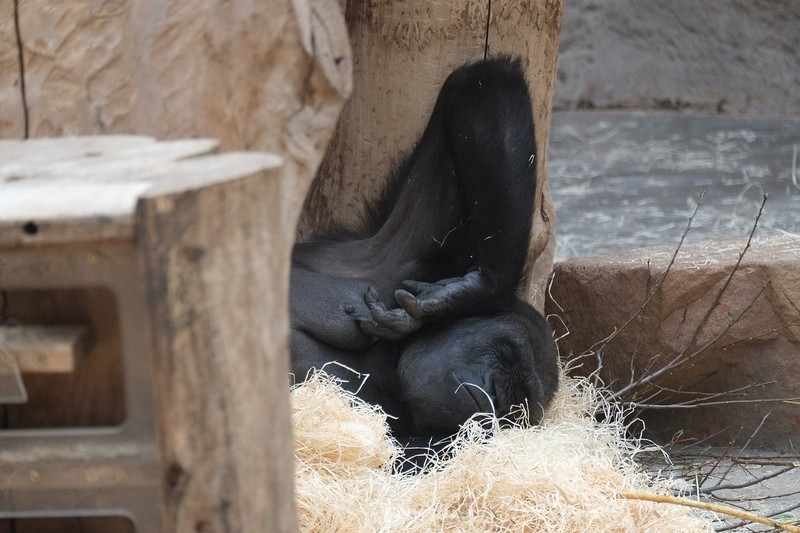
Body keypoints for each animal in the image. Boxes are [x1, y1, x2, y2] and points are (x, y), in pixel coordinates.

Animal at [290, 56, 560, 442]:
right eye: (505, 358)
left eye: (514, 403)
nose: (492, 391)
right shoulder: (404, 261)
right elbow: (484, 86)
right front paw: (471, 291)